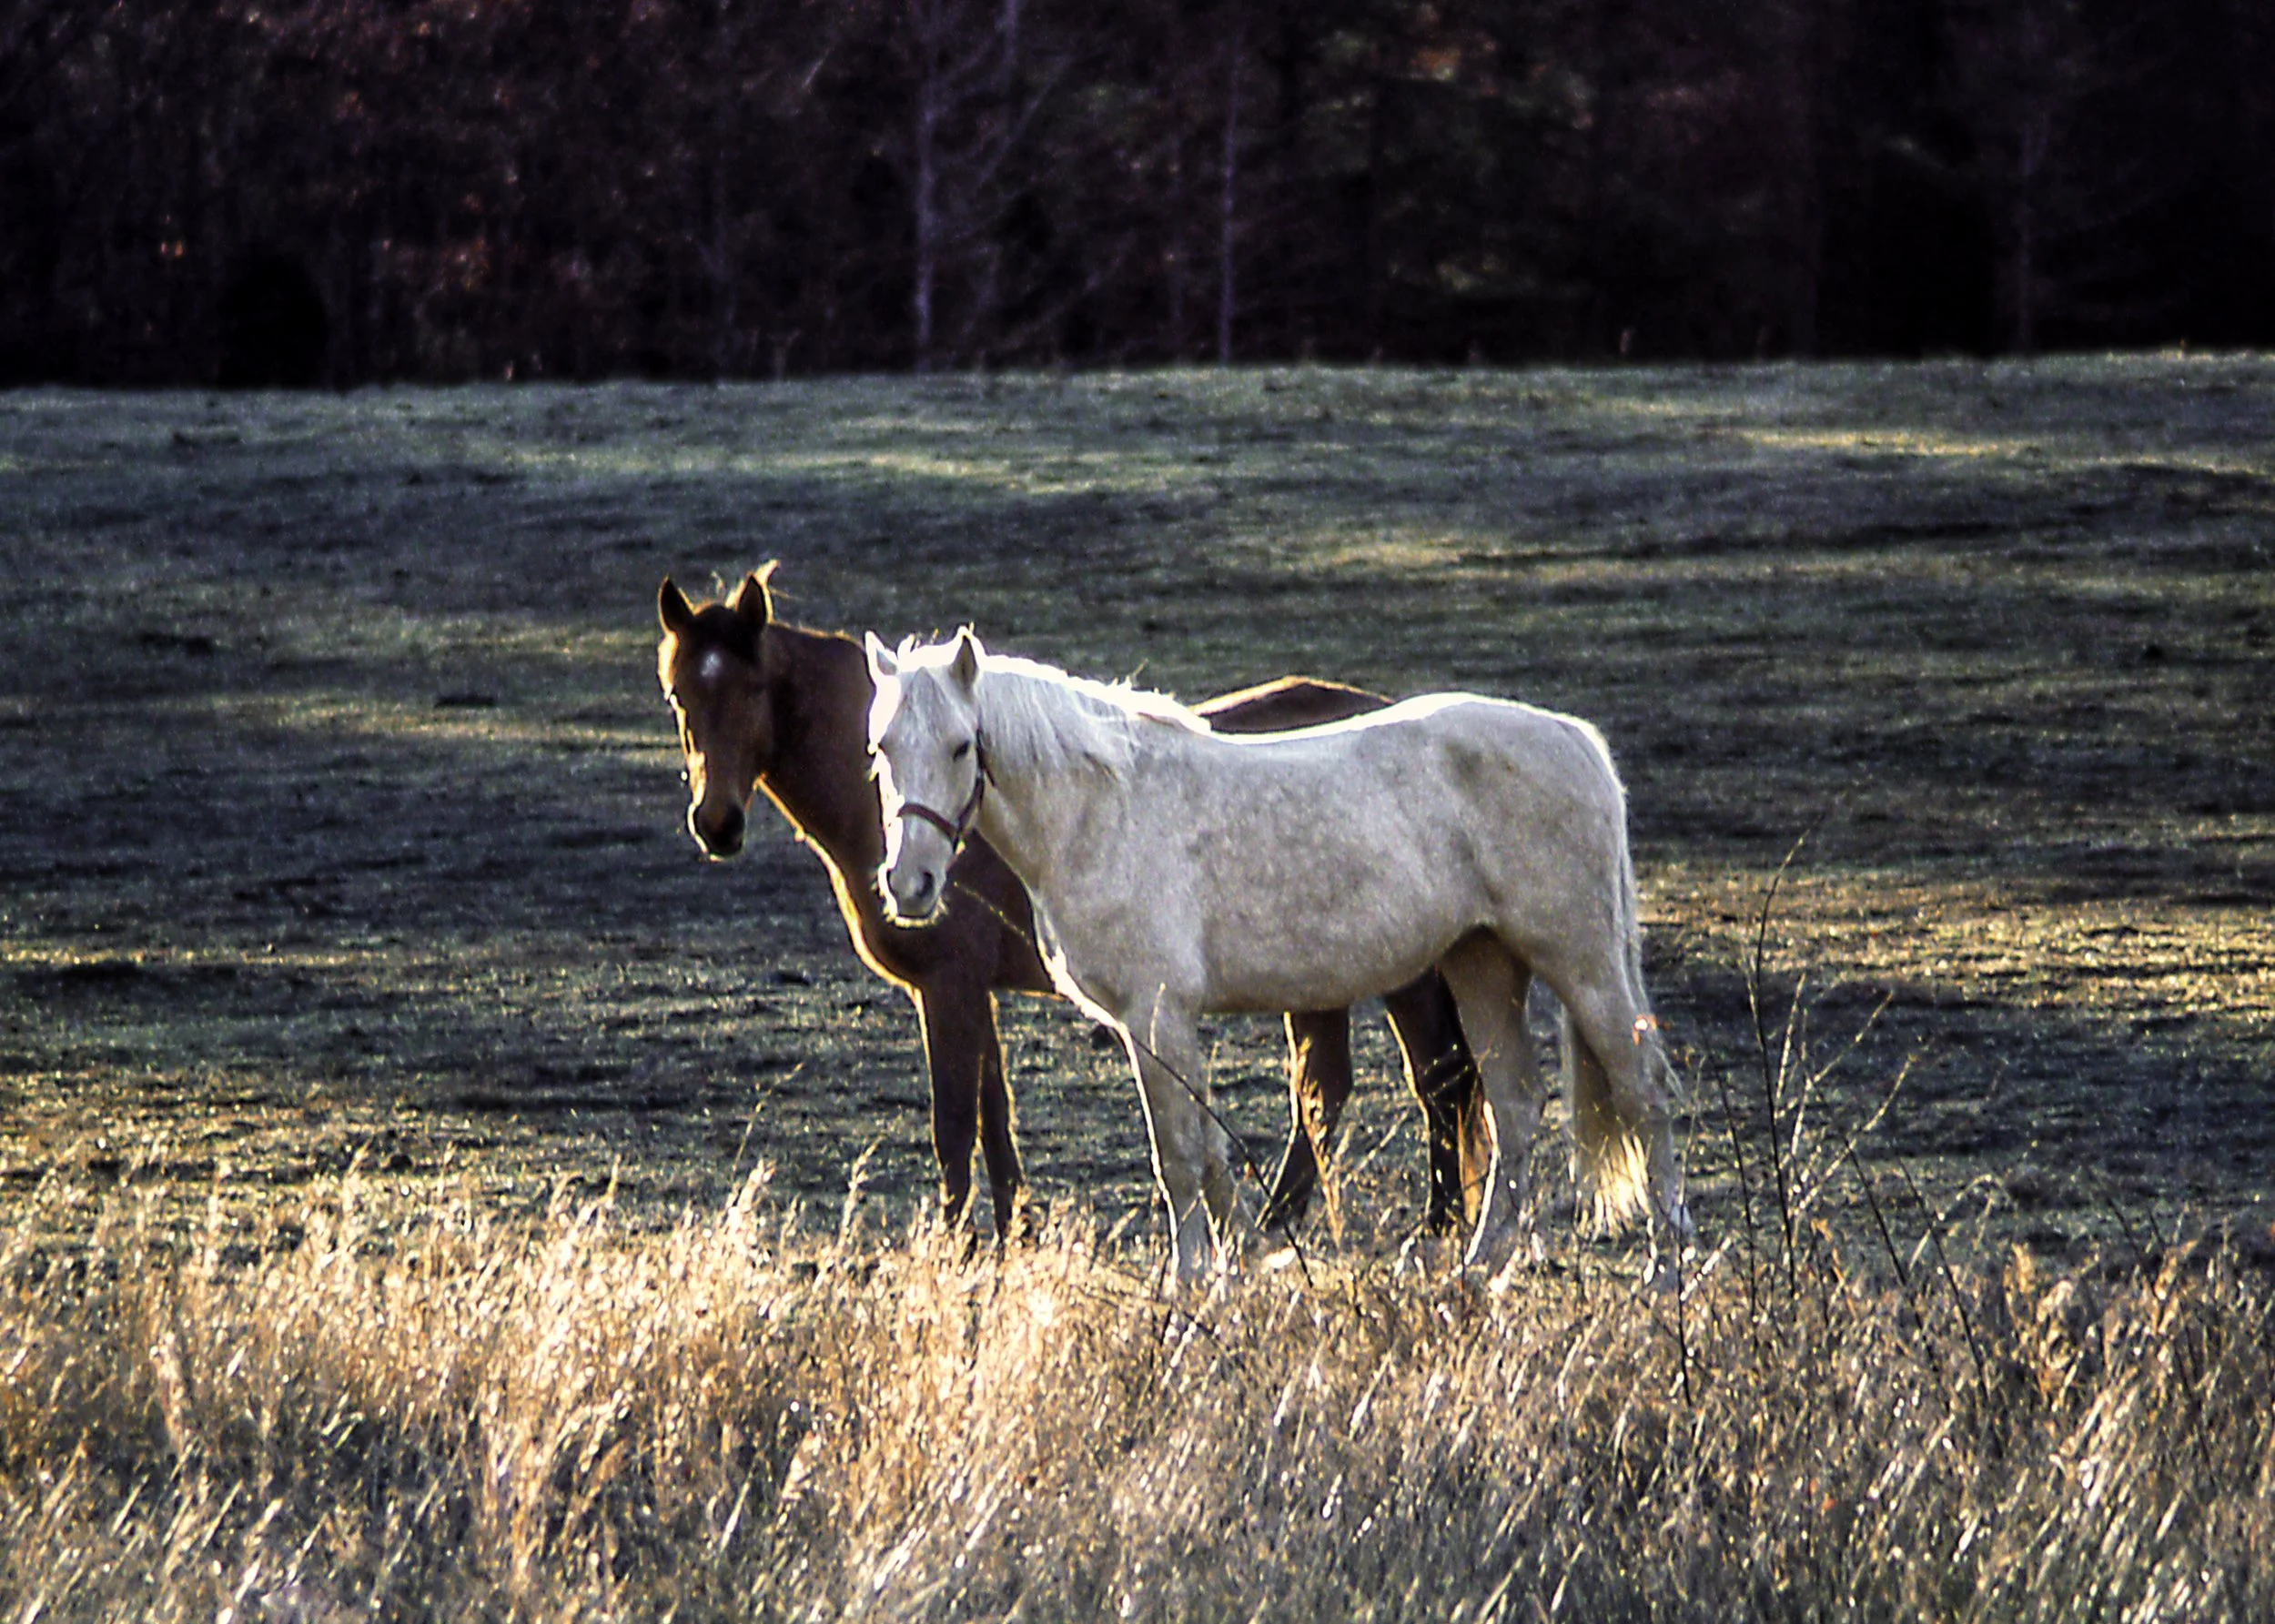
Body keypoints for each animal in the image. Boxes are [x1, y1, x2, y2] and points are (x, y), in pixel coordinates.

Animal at [656, 566, 1485, 1243]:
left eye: (752, 688)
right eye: (678, 695)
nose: (716, 822)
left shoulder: (949, 989)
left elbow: (955, 1128)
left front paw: (954, 1253)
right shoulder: (971, 993)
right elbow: (995, 1121)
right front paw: (1013, 1237)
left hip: (1403, 975)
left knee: (1435, 1082)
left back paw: (1432, 1225)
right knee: (1330, 1089)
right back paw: (1288, 1225)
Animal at [864, 628, 1692, 1284]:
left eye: (962, 745)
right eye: (881, 749)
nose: (911, 883)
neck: (1103, 810)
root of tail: (1575, 738)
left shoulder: (1157, 1015)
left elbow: (1179, 1157)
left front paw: (1190, 1289)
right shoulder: (1153, 1030)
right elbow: (1209, 1154)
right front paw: (1238, 1265)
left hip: (1582, 965)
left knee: (1641, 1089)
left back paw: (1664, 1269)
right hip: (1482, 964)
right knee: (1514, 1103)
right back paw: (1478, 1266)